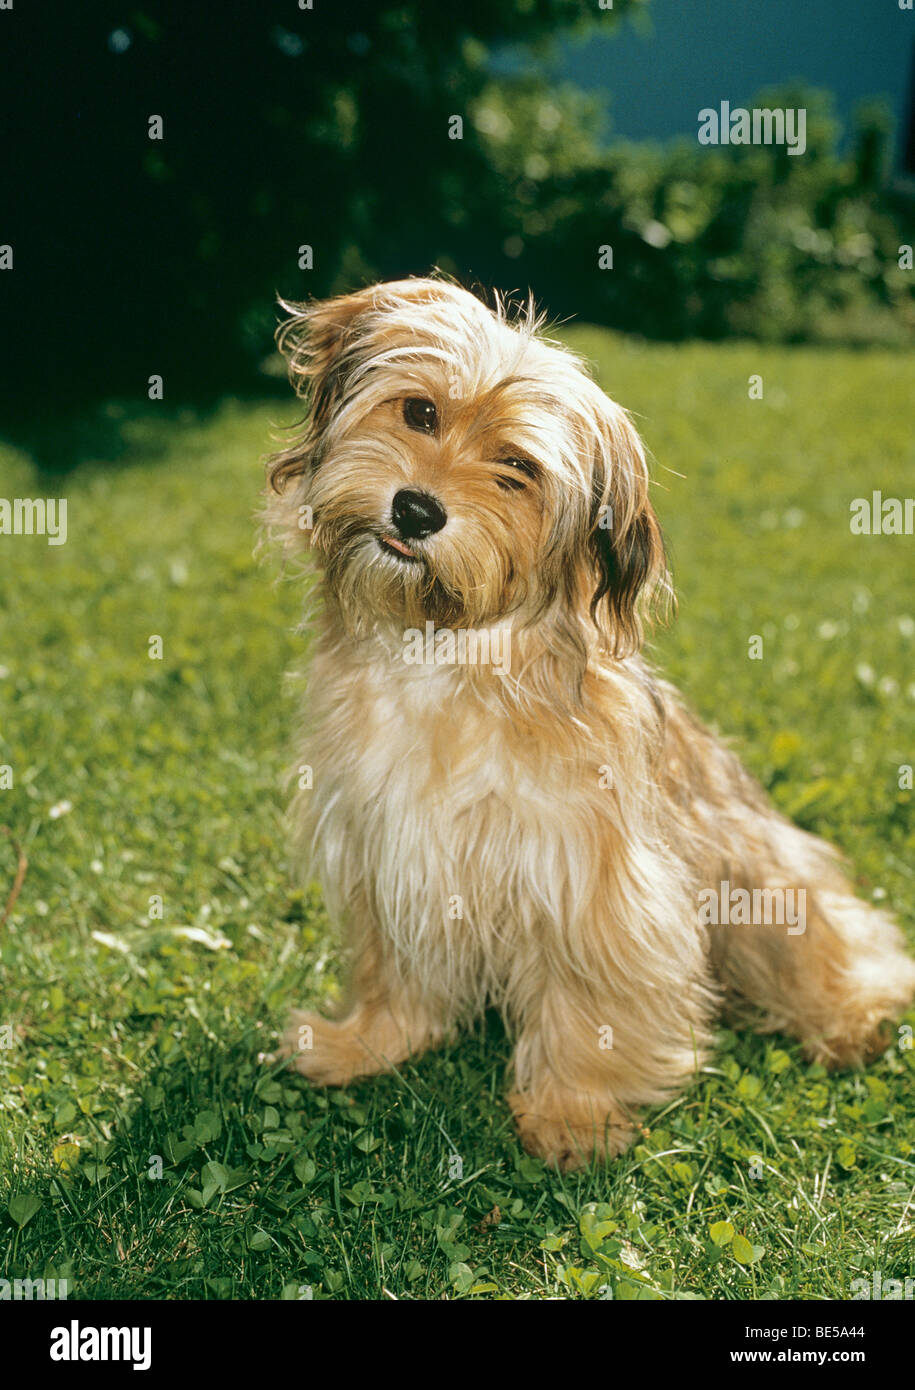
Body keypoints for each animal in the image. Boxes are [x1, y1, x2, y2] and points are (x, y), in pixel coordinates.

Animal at [264, 276, 912, 1167]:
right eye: (419, 412)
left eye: (516, 469)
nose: (417, 510)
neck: (445, 656)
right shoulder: (386, 849)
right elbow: (393, 970)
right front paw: (362, 1043)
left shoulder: (591, 883)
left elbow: (587, 1006)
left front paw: (572, 1113)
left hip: (766, 879)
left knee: (851, 950)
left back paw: (850, 1020)